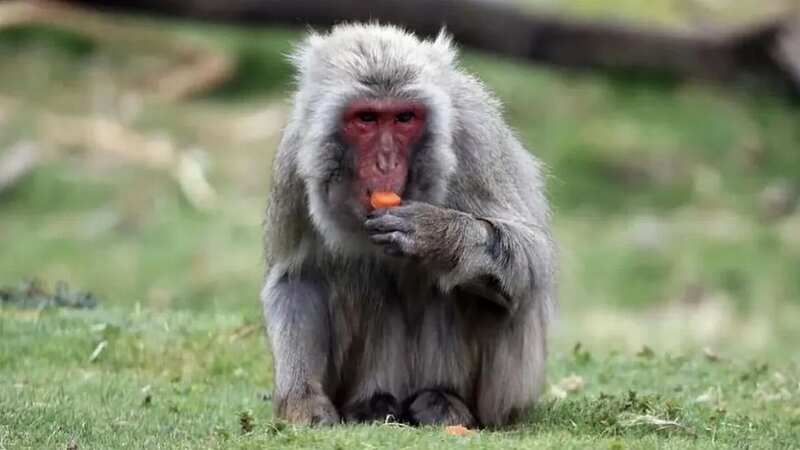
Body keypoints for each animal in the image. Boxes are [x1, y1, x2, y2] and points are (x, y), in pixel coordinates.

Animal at [261, 23, 556, 428]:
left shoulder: (476, 135)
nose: (386, 162)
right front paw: (303, 399)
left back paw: (441, 400)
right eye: (366, 119)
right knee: (356, 274)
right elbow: (299, 277)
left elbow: (530, 258)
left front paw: (438, 235)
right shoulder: (295, 156)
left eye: (404, 118)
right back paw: (372, 403)